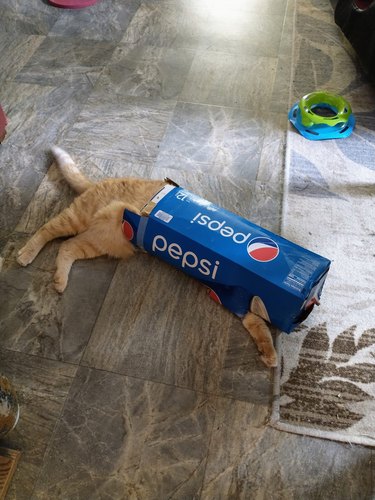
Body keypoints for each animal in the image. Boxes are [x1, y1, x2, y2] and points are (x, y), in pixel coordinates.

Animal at [17, 146, 278, 368]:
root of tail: (99, 182)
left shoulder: (241, 305)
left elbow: (259, 328)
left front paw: (270, 354)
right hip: (75, 219)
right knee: (46, 230)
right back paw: (26, 253)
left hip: (98, 242)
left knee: (67, 247)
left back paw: (60, 281)